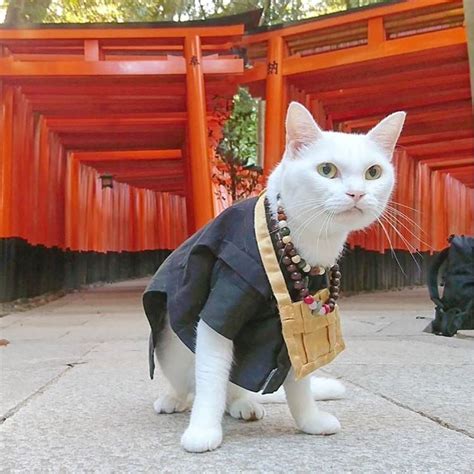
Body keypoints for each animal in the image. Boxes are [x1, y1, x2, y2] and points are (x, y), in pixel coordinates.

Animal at [154, 103, 406, 452]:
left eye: (373, 172)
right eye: (326, 170)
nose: (356, 193)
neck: (310, 242)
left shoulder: (295, 325)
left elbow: (299, 381)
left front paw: (310, 421)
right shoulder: (225, 302)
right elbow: (210, 378)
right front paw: (203, 430)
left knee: (234, 391)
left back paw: (244, 405)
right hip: (170, 346)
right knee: (196, 384)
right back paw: (174, 399)